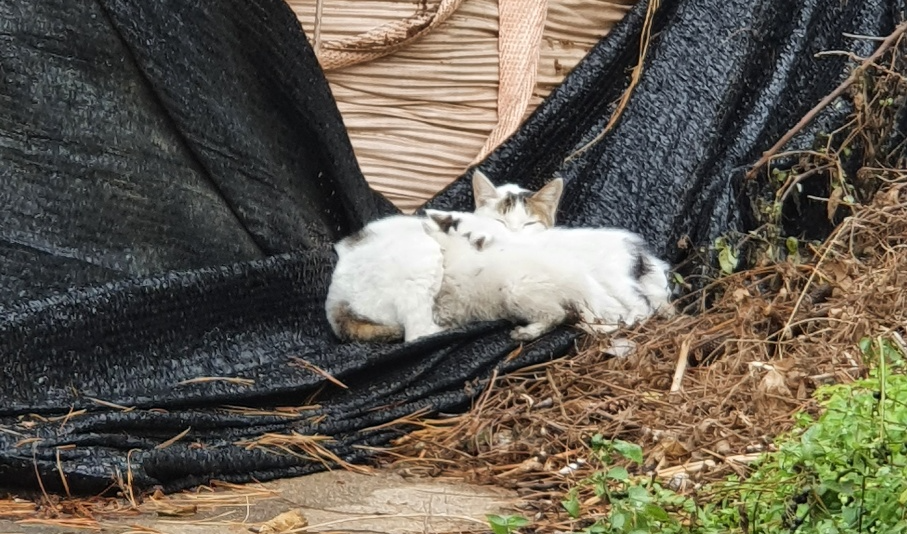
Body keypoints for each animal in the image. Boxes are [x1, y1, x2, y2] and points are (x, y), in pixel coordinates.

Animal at [326, 174, 564, 346]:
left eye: (529, 224)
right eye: (500, 221)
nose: (513, 235)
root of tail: (336, 300)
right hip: (423, 259)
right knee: (416, 333)